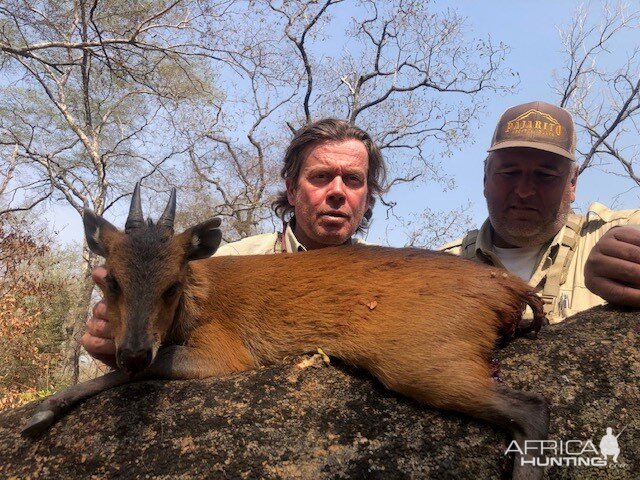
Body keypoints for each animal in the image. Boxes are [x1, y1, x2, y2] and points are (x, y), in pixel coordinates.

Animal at [22, 183, 548, 476]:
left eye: (172, 285)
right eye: (110, 279)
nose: (131, 349)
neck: (198, 300)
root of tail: (509, 287)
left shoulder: (225, 351)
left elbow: (138, 372)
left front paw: (41, 412)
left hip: (425, 356)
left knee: (533, 408)